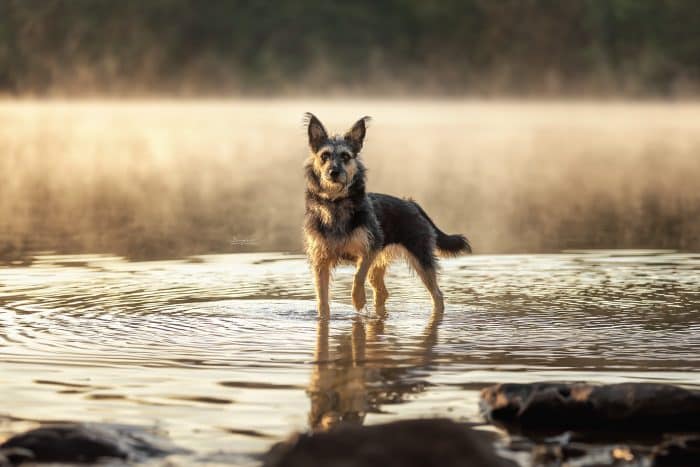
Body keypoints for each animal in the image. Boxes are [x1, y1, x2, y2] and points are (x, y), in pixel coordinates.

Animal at [300, 114, 470, 318]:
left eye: (346, 156)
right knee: (382, 292)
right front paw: (324, 315)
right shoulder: (320, 260)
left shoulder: (371, 247)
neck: (336, 203)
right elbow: (322, 297)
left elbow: (358, 276)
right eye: (324, 156)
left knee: (437, 295)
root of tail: (411, 203)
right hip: (381, 264)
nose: (334, 172)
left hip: (421, 258)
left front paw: (358, 300)